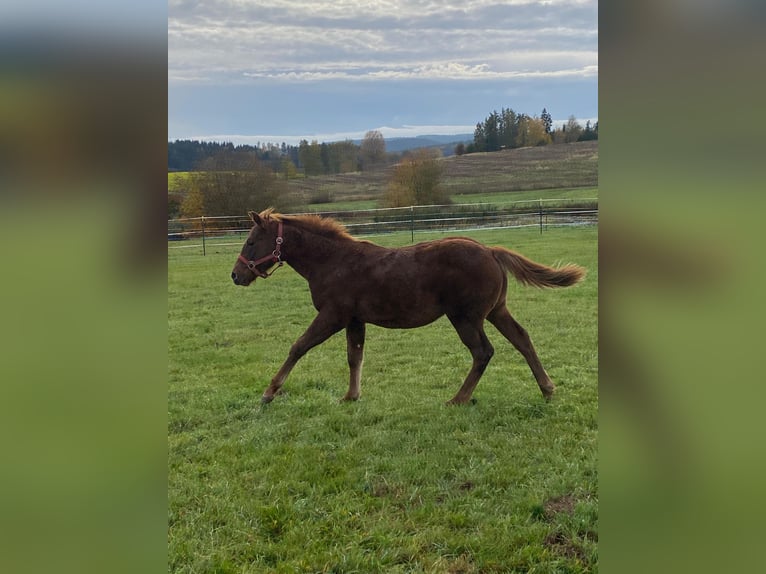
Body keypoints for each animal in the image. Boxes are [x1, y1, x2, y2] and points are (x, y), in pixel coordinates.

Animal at [231, 210, 584, 404]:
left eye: (251, 241)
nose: (236, 275)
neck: (333, 261)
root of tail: (490, 251)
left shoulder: (333, 315)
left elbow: (298, 346)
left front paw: (269, 392)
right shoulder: (355, 319)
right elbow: (354, 357)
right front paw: (351, 396)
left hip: (466, 318)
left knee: (483, 352)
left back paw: (458, 399)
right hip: (496, 311)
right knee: (522, 339)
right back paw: (547, 388)